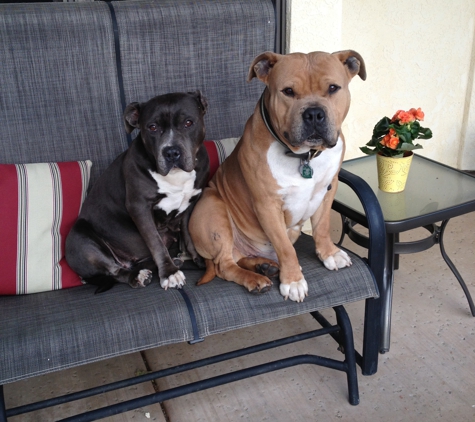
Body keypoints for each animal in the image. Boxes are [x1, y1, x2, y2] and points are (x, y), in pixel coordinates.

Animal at [66, 91, 209, 292]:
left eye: (188, 123)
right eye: (152, 127)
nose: (171, 152)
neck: (175, 177)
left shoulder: (191, 202)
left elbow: (188, 233)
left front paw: (196, 258)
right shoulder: (139, 207)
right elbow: (155, 242)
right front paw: (169, 274)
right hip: (80, 239)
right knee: (115, 271)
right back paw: (138, 276)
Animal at [190, 50, 368, 300]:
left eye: (333, 88)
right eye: (288, 91)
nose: (314, 113)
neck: (304, 156)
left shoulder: (328, 188)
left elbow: (322, 227)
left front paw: (329, 253)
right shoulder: (267, 206)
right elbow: (285, 248)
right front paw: (293, 280)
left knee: (239, 258)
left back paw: (264, 266)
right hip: (212, 209)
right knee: (224, 265)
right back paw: (256, 278)